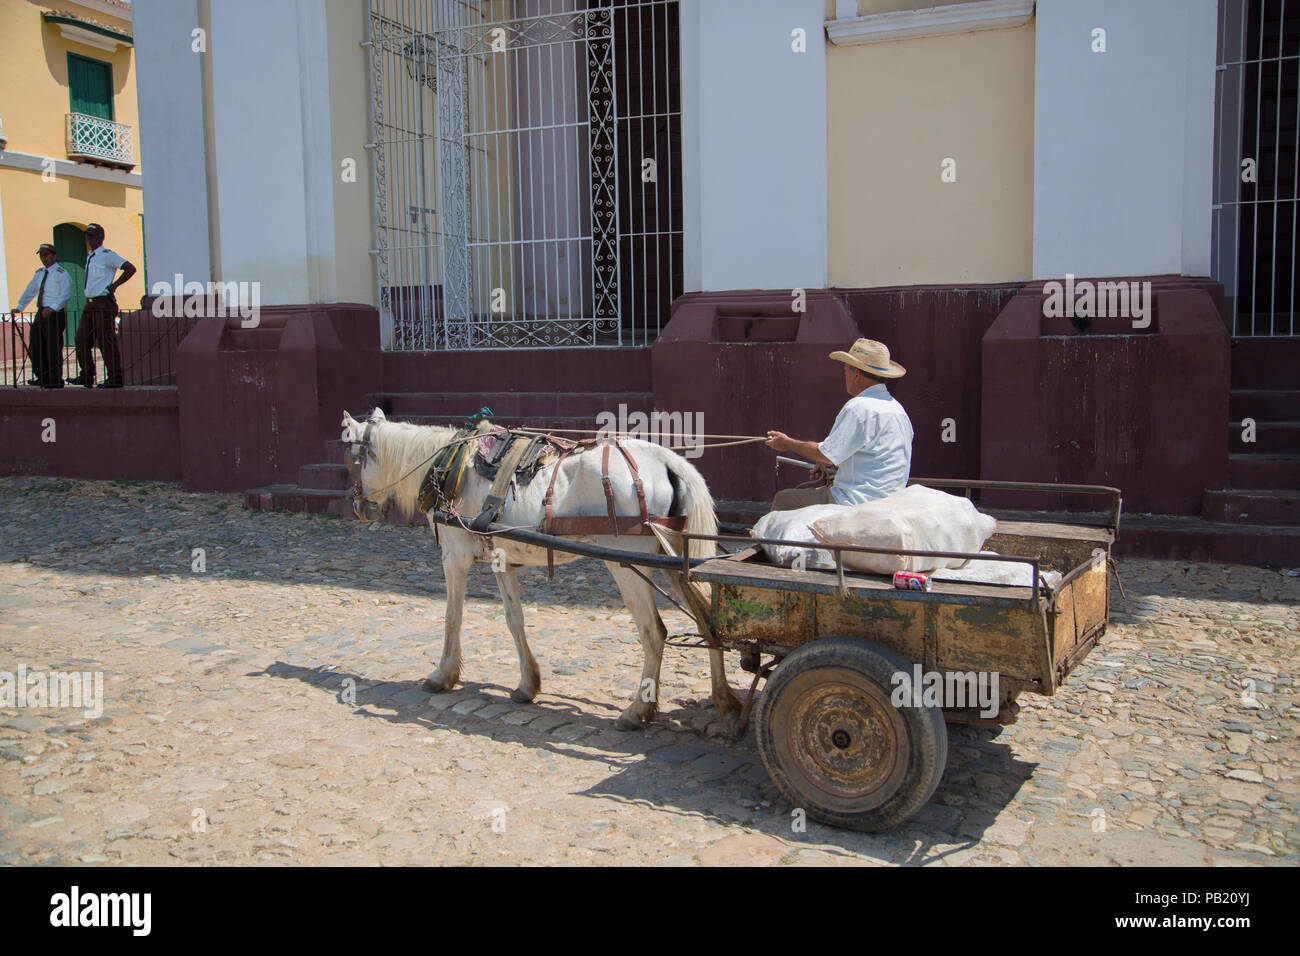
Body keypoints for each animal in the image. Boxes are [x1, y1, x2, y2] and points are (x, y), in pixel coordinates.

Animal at [340, 405, 743, 733]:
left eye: (350, 459)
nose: (360, 508)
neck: (449, 465)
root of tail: (667, 462)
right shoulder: (502, 560)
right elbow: (513, 619)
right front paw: (527, 684)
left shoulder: (454, 557)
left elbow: (452, 617)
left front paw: (443, 675)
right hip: (674, 557)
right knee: (708, 621)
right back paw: (725, 702)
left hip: (627, 564)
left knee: (654, 633)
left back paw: (638, 711)